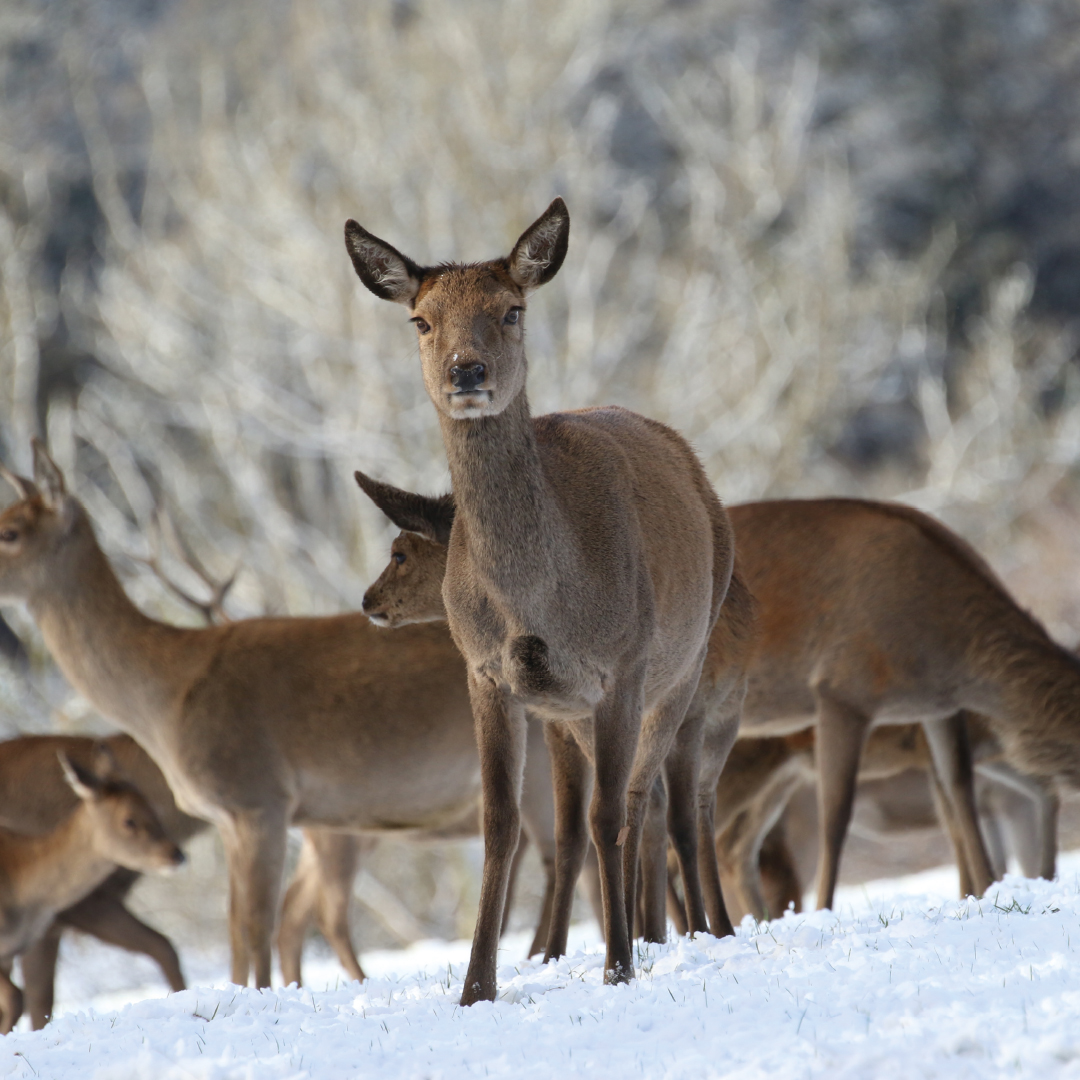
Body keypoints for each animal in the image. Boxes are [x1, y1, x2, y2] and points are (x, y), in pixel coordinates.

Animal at [0, 443, 588, 991]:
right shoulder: (235, 818)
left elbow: (255, 922)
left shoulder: (260, 797)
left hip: (527, 769)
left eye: (9, 530)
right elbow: (238, 923)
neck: (168, 694)